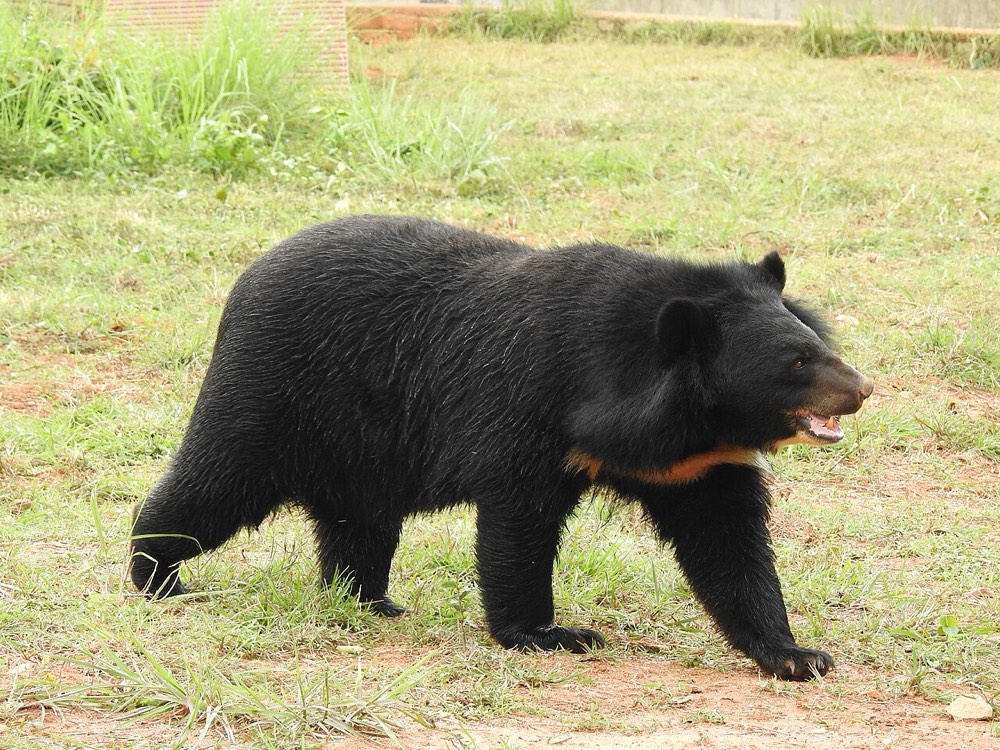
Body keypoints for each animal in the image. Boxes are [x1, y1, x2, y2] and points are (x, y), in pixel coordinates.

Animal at [131, 215, 873, 680]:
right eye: (797, 363)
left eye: (818, 347)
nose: (863, 389)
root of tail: (250, 271)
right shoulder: (532, 410)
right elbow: (518, 526)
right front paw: (549, 635)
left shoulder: (695, 465)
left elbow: (727, 543)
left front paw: (796, 655)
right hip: (272, 392)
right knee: (215, 484)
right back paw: (157, 575)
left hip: (359, 446)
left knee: (359, 521)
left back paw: (370, 601)